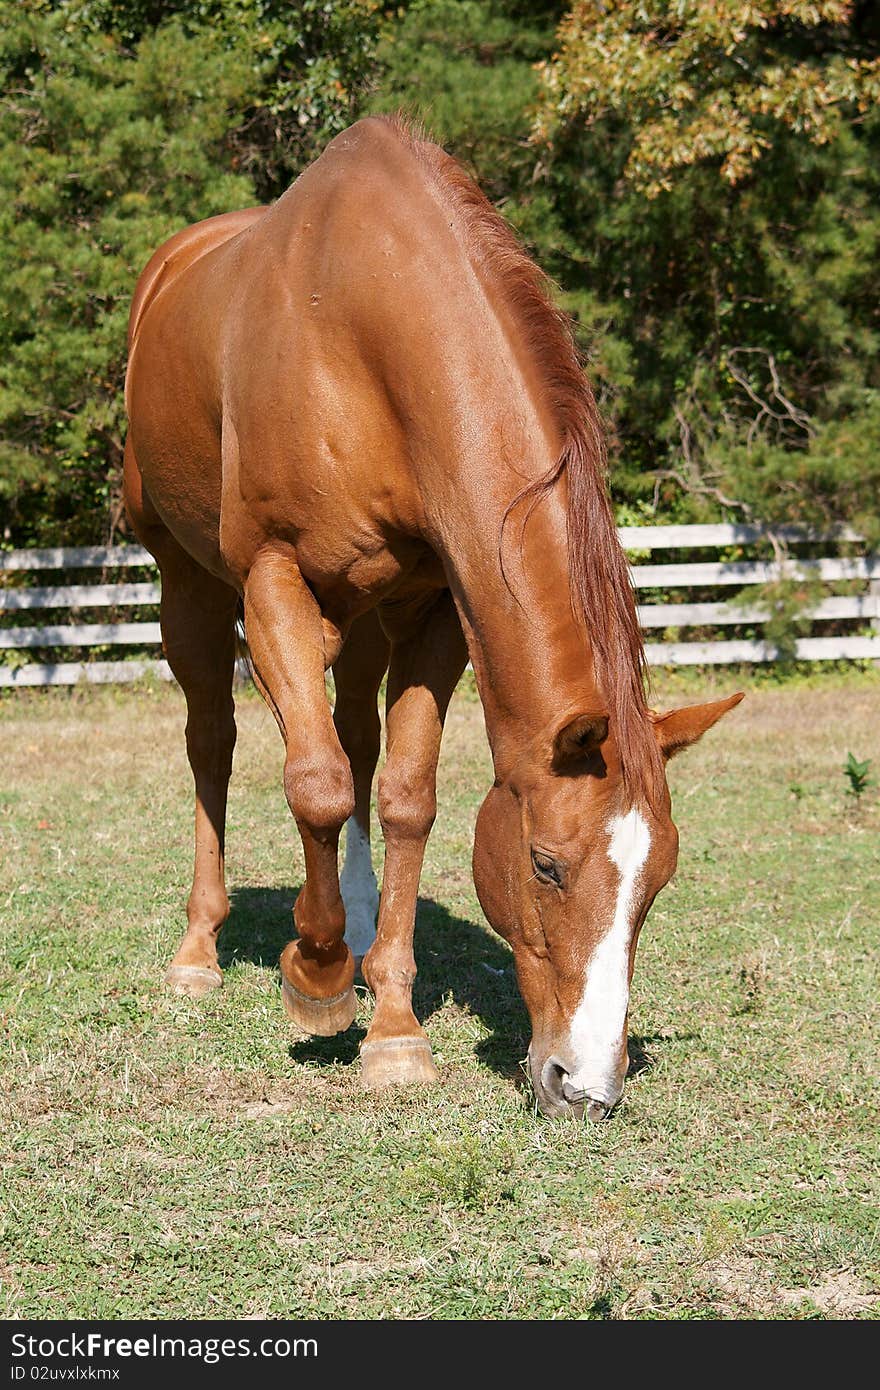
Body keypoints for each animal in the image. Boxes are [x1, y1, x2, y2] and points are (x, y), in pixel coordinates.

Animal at [123, 116, 739, 1117]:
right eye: (546, 865)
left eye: (659, 882)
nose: (585, 1087)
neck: (361, 332)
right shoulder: (272, 576)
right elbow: (314, 784)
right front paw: (317, 978)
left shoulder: (435, 605)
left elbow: (404, 796)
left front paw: (395, 1027)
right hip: (191, 584)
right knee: (214, 744)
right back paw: (201, 953)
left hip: (363, 614)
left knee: (351, 740)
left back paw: (357, 926)